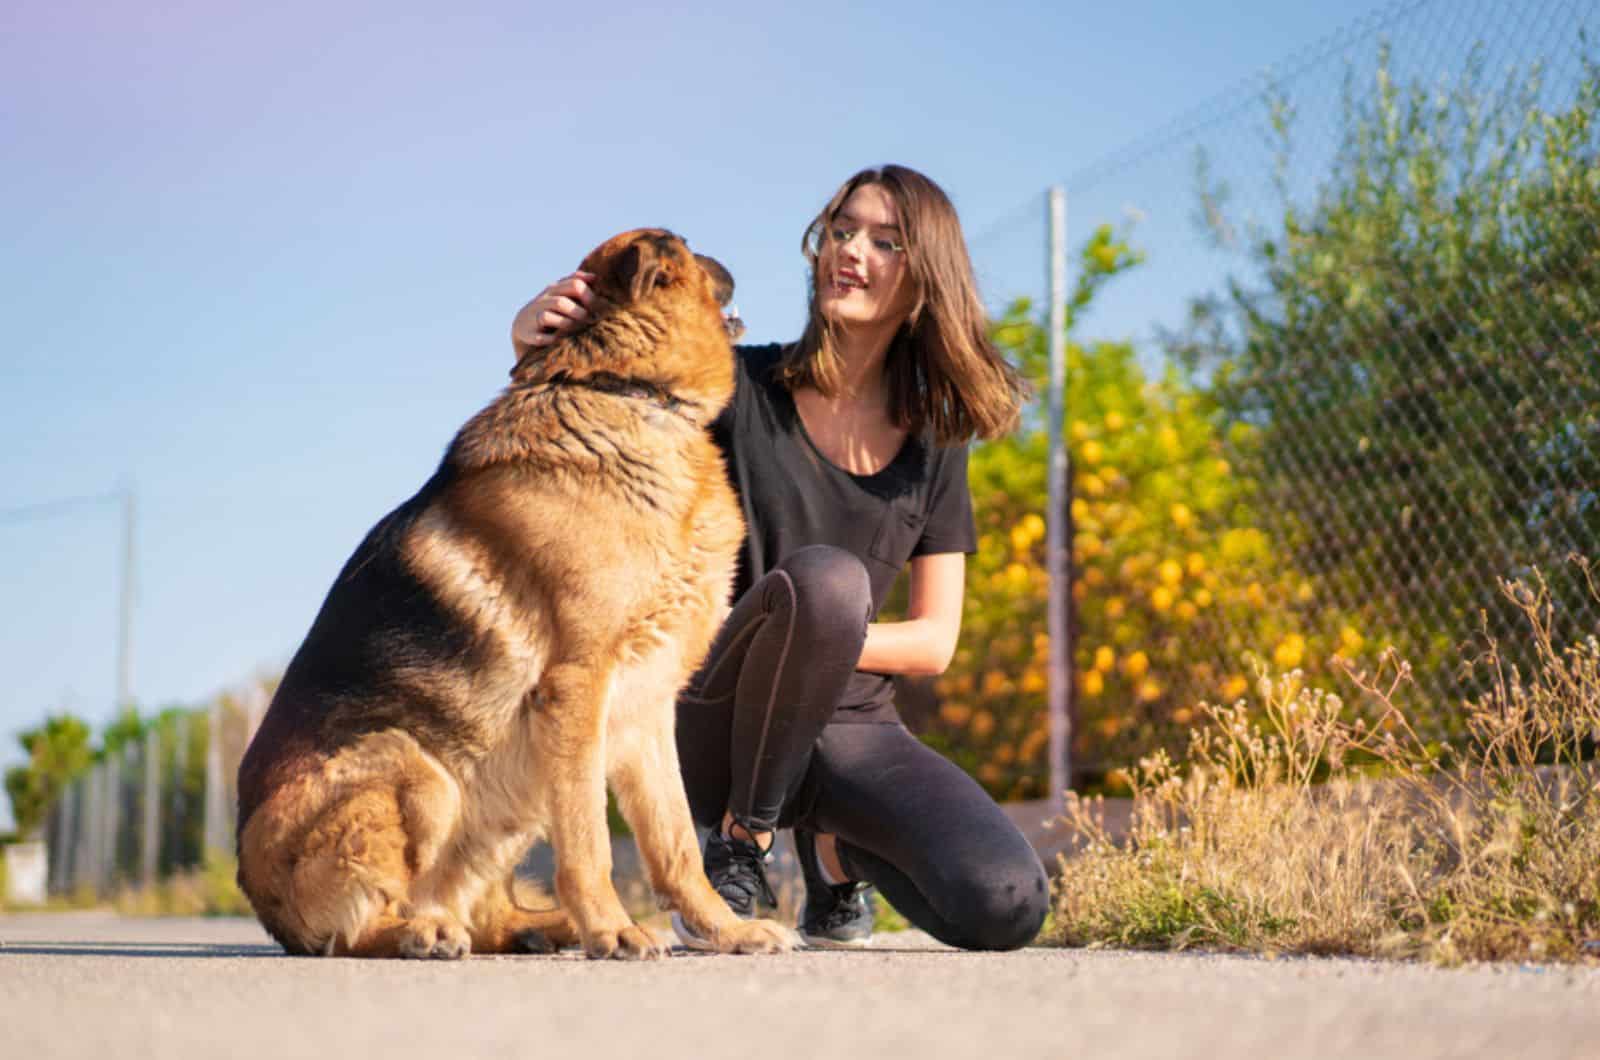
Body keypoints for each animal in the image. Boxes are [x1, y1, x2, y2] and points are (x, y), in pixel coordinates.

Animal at [235, 232, 793, 960]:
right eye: (687, 249)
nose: (727, 259)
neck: (622, 390)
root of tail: (255, 889)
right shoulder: (579, 690)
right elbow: (589, 843)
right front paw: (612, 930)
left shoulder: (645, 710)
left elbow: (675, 845)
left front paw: (727, 931)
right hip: (417, 769)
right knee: (356, 932)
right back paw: (423, 932)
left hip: (503, 797)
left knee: (484, 915)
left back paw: (537, 927)